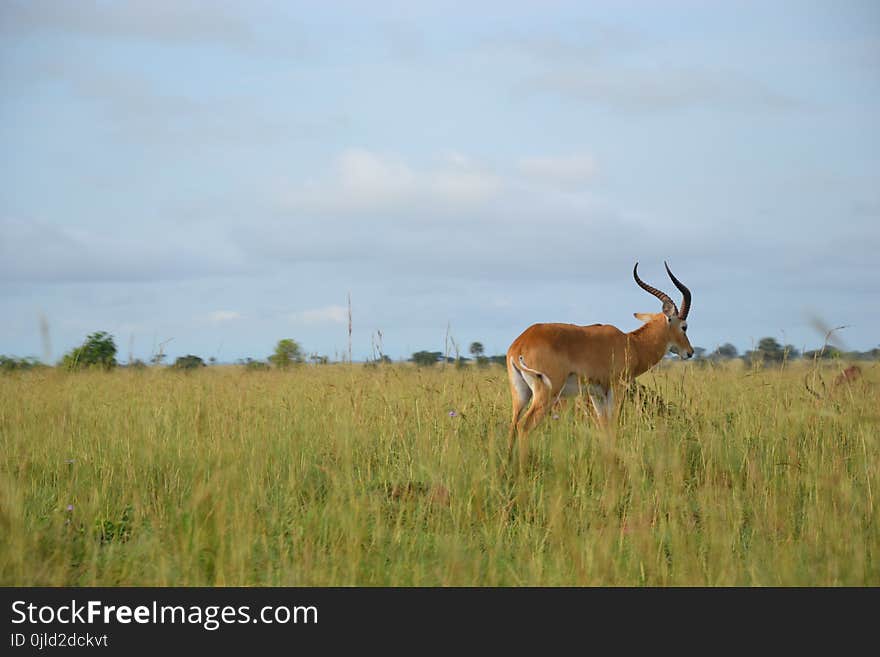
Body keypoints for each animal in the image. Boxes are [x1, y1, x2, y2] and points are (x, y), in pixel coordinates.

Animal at [508, 264, 696, 454]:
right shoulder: (616, 389)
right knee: (524, 426)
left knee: (513, 426)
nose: (690, 352)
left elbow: (604, 427)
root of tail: (520, 344)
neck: (632, 343)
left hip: (521, 394)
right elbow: (612, 426)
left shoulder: (596, 394)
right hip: (546, 393)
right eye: (684, 327)